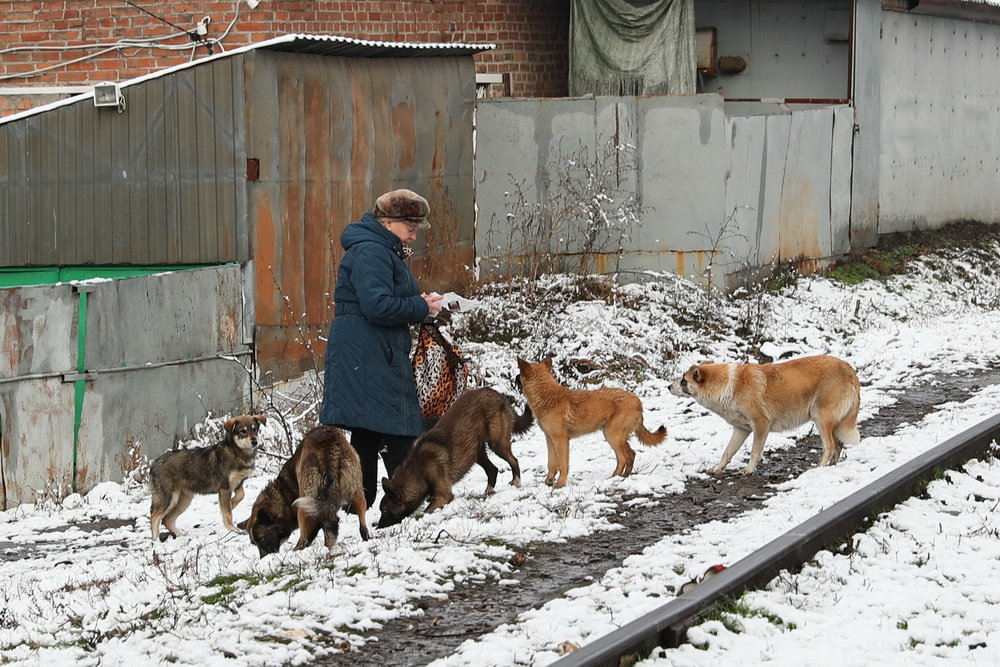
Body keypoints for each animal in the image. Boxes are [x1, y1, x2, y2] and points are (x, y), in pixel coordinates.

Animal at [516, 358, 664, 488]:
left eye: (520, 374)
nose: (515, 378)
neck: (547, 397)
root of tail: (638, 401)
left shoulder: (561, 440)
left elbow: (563, 465)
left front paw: (560, 484)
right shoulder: (550, 439)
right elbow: (551, 464)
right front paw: (548, 482)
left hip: (612, 436)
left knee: (624, 457)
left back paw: (614, 478)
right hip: (613, 437)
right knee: (629, 455)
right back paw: (622, 476)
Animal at [668, 354, 864, 474]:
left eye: (683, 380)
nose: (668, 387)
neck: (728, 385)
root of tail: (850, 370)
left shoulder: (761, 425)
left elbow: (755, 451)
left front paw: (748, 471)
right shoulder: (741, 429)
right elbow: (727, 452)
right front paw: (717, 469)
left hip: (820, 418)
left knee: (830, 446)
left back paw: (819, 468)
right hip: (832, 423)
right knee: (838, 446)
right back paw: (831, 467)